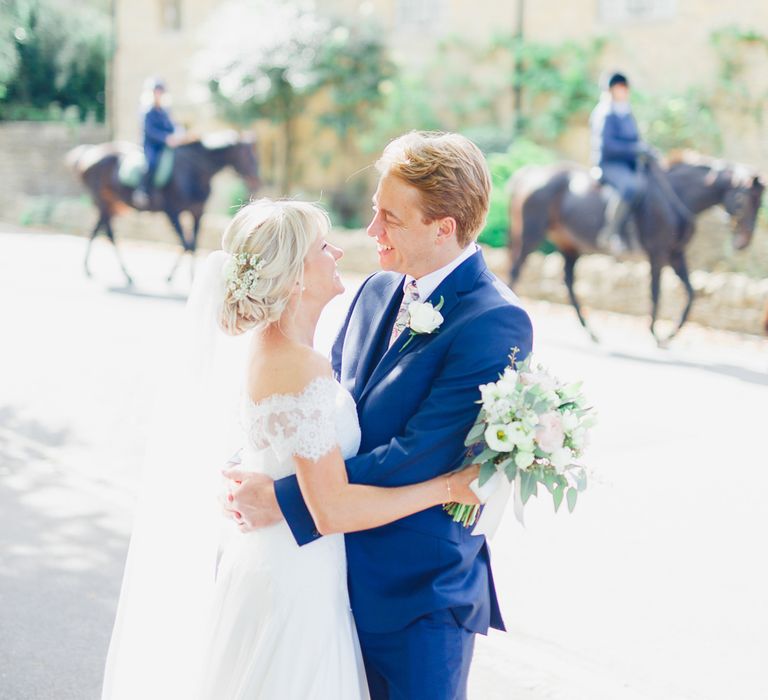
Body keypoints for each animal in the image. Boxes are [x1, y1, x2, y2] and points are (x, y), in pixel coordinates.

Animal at [67, 131, 258, 284]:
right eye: (246, 155)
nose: (256, 181)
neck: (192, 171)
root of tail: (90, 153)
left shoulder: (198, 212)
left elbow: (192, 244)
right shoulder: (172, 212)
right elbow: (187, 244)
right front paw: (177, 277)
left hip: (110, 204)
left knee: (97, 229)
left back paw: (91, 268)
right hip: (103, 202)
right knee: (109, 234)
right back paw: (126, 274)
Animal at [508, 154, 764, 344]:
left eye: (760, 203)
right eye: (742, 200)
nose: (744, 241)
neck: (676, 195)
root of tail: (530, 173)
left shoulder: (676, 254)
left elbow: (691, 292)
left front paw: (671, 333)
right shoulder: (657, 253)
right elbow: (656, 291)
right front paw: (654, 332)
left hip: (568, 245)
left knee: (569, 283)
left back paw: (591, 332)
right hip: (531, 237)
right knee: (516, 270)